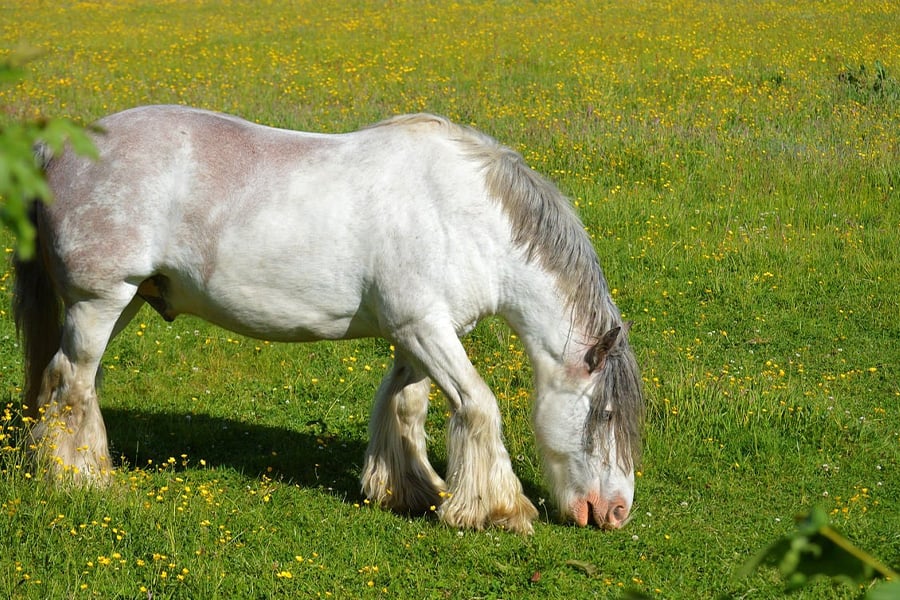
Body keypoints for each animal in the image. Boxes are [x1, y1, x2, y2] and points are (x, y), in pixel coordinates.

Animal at [13, 105, 643, 533]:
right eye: (606, 414)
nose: (617, 512)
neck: (467, 216)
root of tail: (53, 150)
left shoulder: (415, 336)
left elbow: (404, 407)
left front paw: (408, 491)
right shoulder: (425, 327)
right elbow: (479, 405)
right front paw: (499, 510)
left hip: (125, 301)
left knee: (67, 381)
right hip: (100, 301)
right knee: (70, 382)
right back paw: (84, 480)